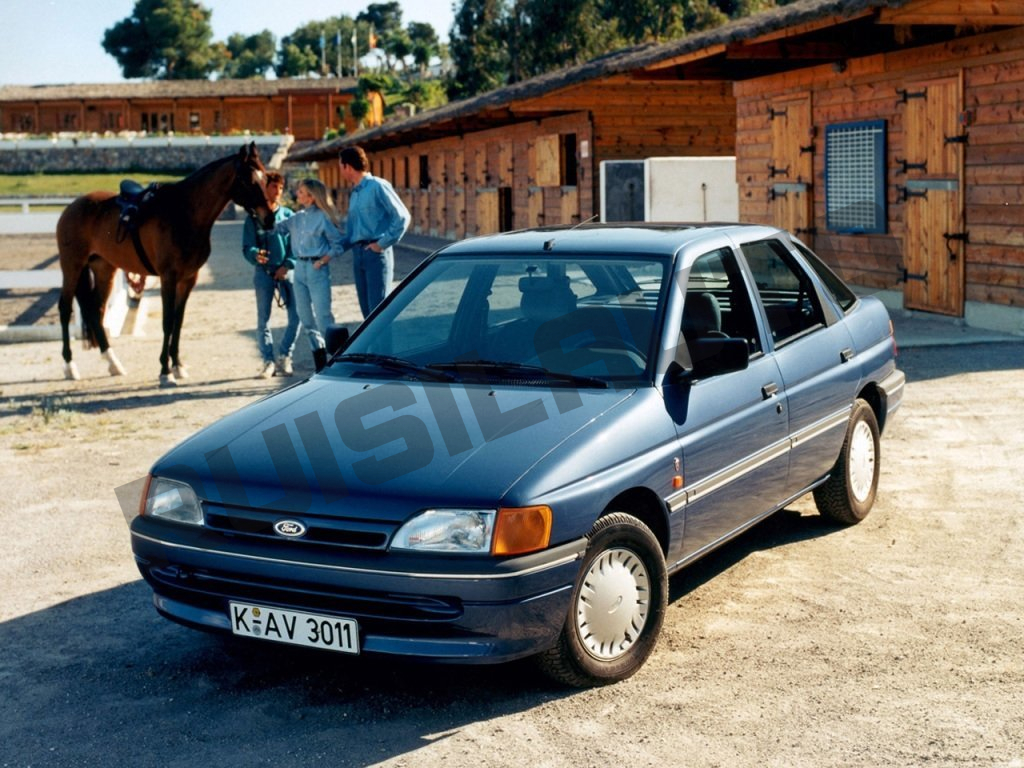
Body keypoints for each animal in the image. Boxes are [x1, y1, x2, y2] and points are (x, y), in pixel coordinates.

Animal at [55, 141, 272, 385]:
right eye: (248, 180)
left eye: (265, 178)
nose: (270, 218)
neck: (184, 213)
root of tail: (72, 207)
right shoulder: (169, 277)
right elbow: (168, 321)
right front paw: (165, 371)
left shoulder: (188, 279)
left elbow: (178, 320)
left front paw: (177, 365)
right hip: (72, 266)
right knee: (65, 309)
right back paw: (70, 366)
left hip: (103, 268)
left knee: (96, 310)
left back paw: (113, 363)